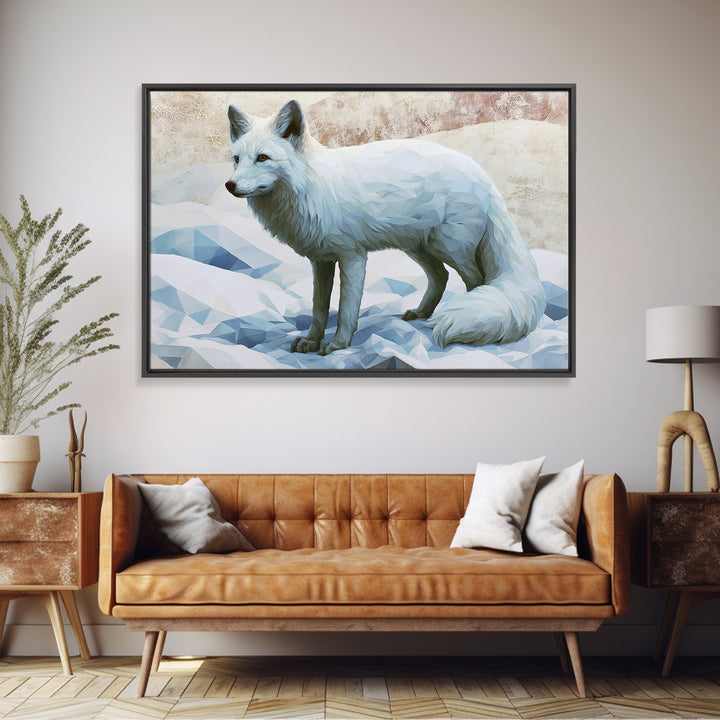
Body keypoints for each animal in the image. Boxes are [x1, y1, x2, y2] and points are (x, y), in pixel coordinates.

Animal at [225, 100, 546, 356]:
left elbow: (346, 309)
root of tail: (484, 175)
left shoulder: (353, 257)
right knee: (440, 277)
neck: (313, 188)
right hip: (419, 248)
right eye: (237, 160)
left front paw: (338, 345)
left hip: (449, 247)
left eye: (262, 158)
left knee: (477, 281)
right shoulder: (321, 260)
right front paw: (311, 341)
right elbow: (318, 309)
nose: (229, 185)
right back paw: (422, 312)